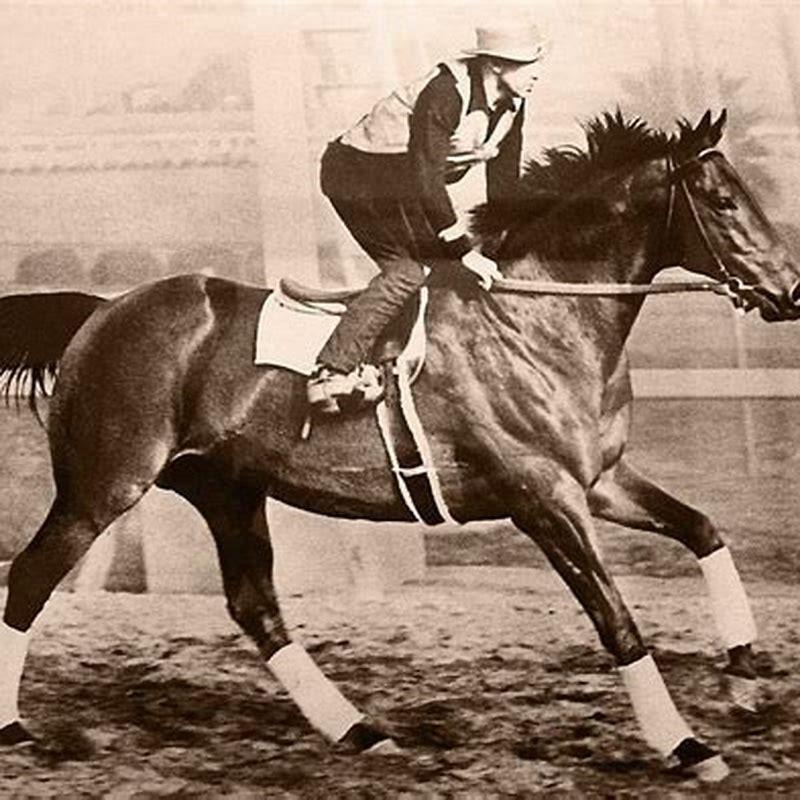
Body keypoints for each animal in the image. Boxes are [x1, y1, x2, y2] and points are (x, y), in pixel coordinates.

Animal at [0, 109, 798, 782]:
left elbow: (703, 530)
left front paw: (742, 672)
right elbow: (618, 621)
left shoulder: (600, 481)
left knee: (255, 606)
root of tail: (102, 310)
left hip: (226, 488)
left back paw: (359, 732)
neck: (536, 318)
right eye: (723, 202)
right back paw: (12, 728)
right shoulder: (542, 497)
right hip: (104, 485)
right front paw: (686, 743)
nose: (790, 291)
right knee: (30, 579)